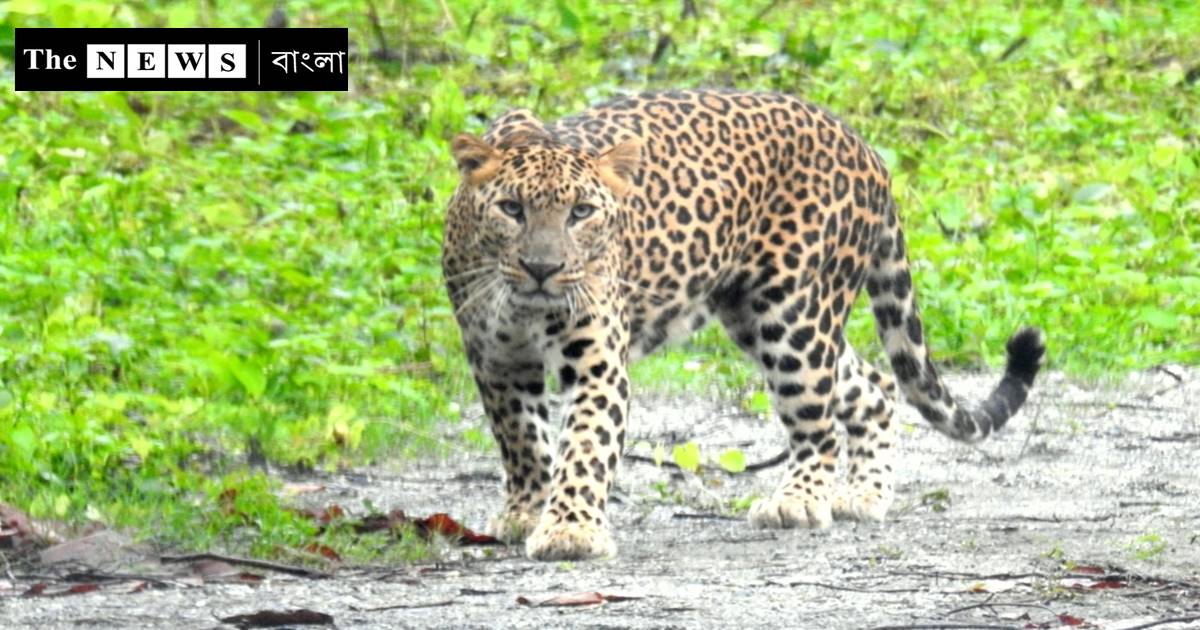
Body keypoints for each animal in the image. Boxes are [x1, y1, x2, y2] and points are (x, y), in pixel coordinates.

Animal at [441, 88, 1041, 559]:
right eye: (512, 209)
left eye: (581, 213)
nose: (542, 268)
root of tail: (864, 146)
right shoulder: (496, 362)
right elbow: (521, 440)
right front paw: (526, 512)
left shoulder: (597, 364)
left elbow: (586, 446)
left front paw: (570, 531)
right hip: (757, 316)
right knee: (874, 385)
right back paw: (863, 495)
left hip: (794, 315)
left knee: (819, 424)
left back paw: (799, 501)